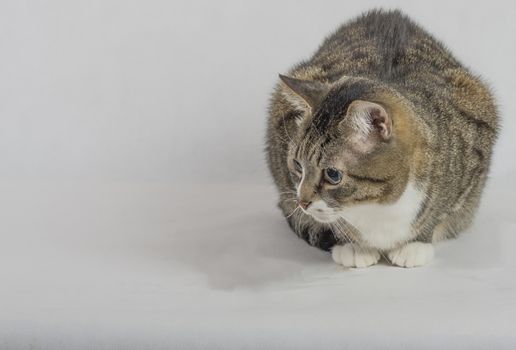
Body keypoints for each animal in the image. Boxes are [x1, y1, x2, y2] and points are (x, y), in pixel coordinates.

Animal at [264, 10, 498, 268]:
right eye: (297, 165)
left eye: (333, 175)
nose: (301, 203)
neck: (378, 205)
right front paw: (352, 245)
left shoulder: (474, 147)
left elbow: (440, 209)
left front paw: (414, 244)